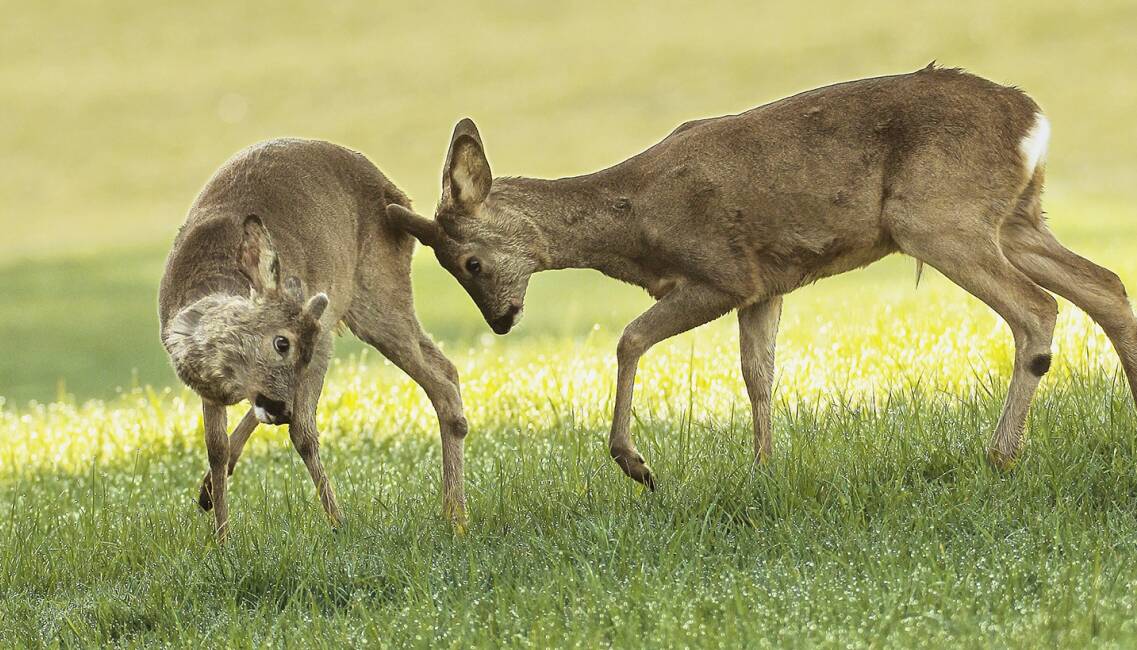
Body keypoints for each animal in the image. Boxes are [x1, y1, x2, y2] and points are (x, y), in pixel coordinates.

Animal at [160, 139, 466, 540]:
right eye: (281, 344)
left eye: (293, 349)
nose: (280, 409)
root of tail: (400, 196)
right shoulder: (216, 388)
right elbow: (216, 447)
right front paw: (222, 537)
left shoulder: (320, 342)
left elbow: (304, 433)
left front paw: (338, 524)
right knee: (447, 366)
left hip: (374, 290)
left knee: (440, 380)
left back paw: (456, 516)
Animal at [388, 65, 1137, 490]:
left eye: (470, 262)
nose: (500, 321)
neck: (632, 221)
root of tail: (1032, 122)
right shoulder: (765, 283)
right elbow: (759, 374)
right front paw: (762, 471)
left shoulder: (720, 272)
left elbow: (630, 339)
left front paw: (636, 465)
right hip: (1014, 217)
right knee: (1106, 286)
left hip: (936, 216)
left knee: (1038, 310)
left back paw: (998, 456)